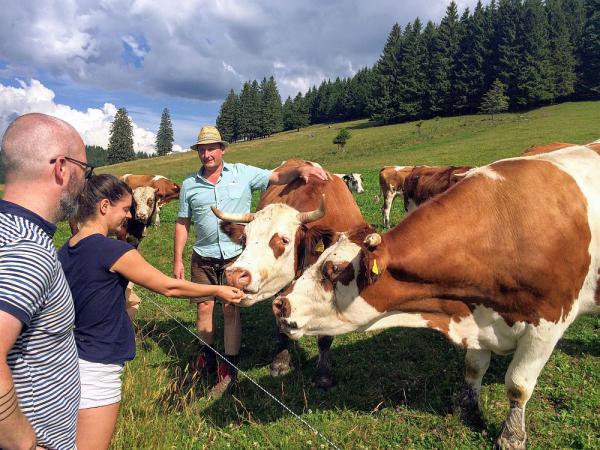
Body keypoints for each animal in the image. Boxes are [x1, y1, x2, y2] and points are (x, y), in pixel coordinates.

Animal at [276, 145, 600, 450]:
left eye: (334, 270)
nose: (280, 304)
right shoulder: (476, 316)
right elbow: (473, 367)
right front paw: (467, 407)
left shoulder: (547, 324)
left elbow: (517, 385)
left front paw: (511, 437)